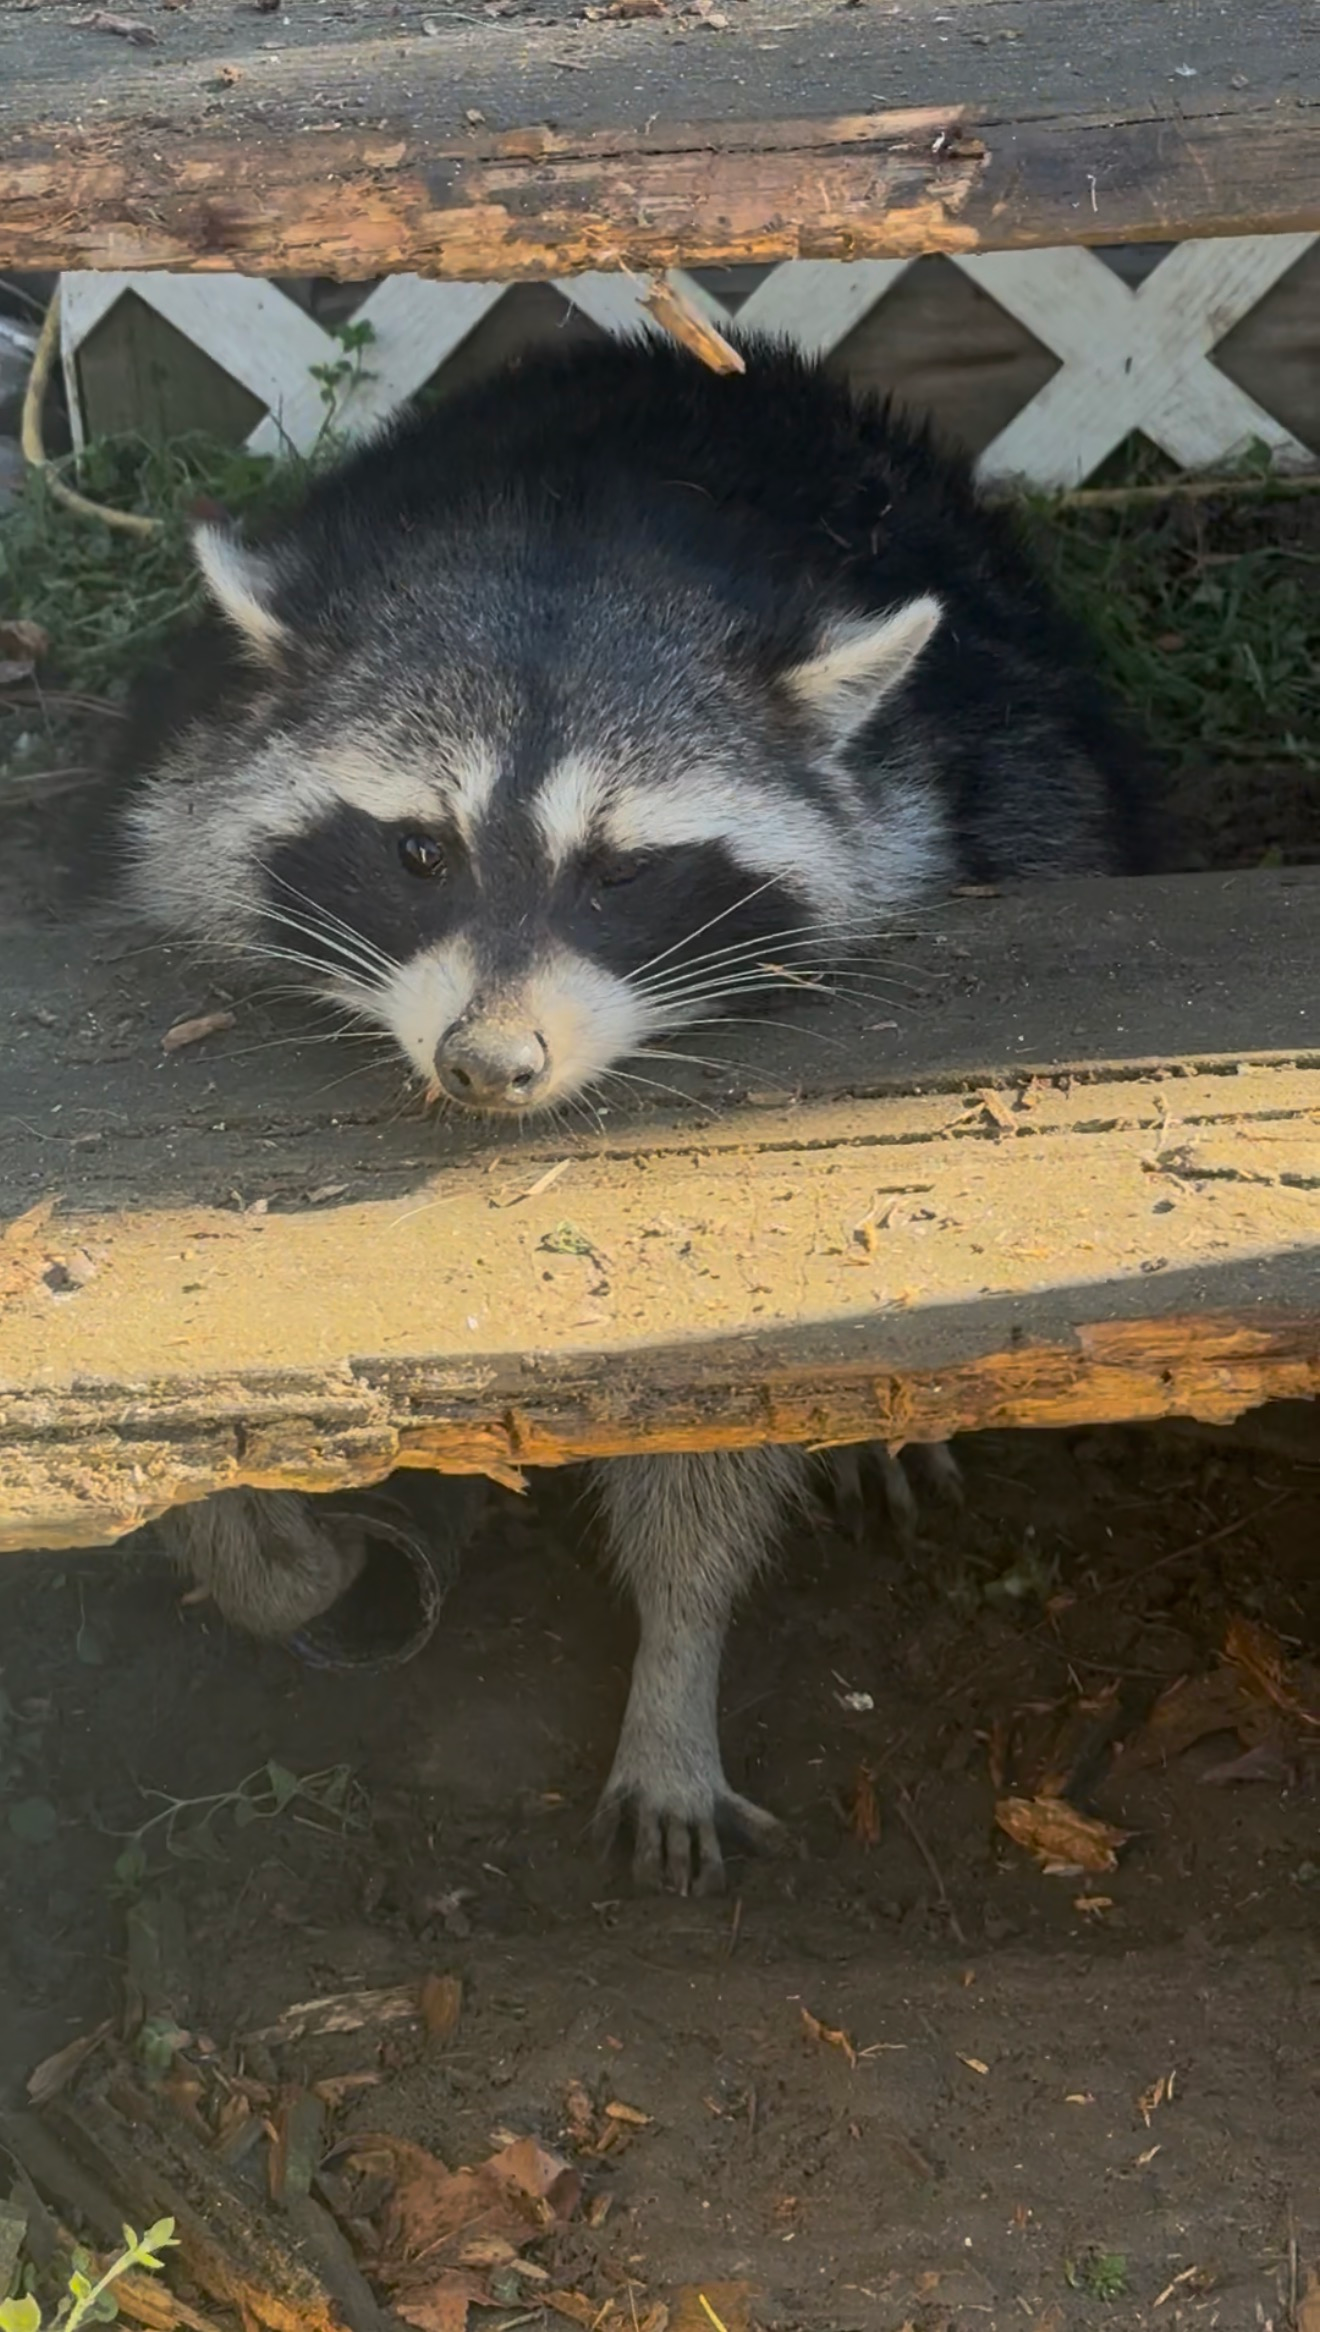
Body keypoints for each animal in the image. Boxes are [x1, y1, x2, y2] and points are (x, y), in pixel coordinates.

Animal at [104, 333, 1153, 1897]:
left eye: (620, 872)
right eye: (418, 852)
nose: (489, 1064)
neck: (578, 533)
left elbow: (713, 1436)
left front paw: (677, 1658)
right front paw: (258, 1549)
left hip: (1029, 752)